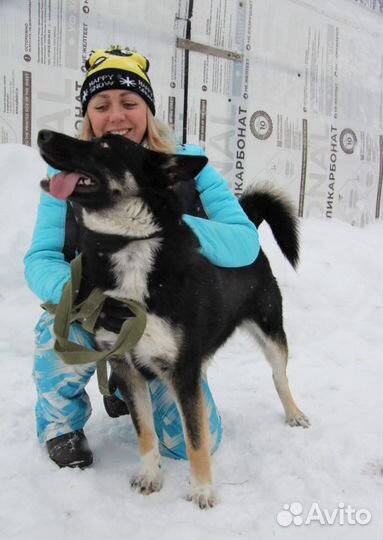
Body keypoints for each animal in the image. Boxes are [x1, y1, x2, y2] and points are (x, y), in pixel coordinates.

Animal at [37, 129, 310, 508]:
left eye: (104, 145)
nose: (42, 134)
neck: (127, 246)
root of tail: (252, 236)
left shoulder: (182, 371)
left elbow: (196, 438)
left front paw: (202, 490)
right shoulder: (126, 367)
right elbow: (146, 432)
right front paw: (150, 475)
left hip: (271, 331)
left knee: (279, 376)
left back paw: (294, 412)